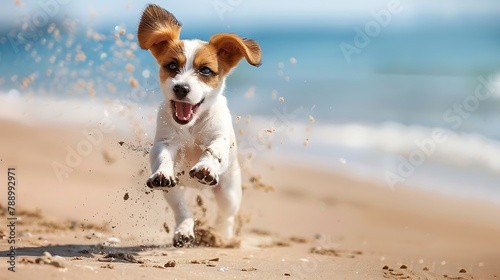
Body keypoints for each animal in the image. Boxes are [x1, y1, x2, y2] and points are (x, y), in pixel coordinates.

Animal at [137, 3, 262, 246]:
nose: (181, 88)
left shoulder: (220, 137)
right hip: (173, 190)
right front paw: (162, 171)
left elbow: (214, 150)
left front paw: (206, 166)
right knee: (182, 211)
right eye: (171, 65)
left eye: (205, 70)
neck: (191, 126)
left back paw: (222, 236)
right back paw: (184, 231)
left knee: (226, 217)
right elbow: (162, 156)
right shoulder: (164, 142)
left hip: (228, 193)